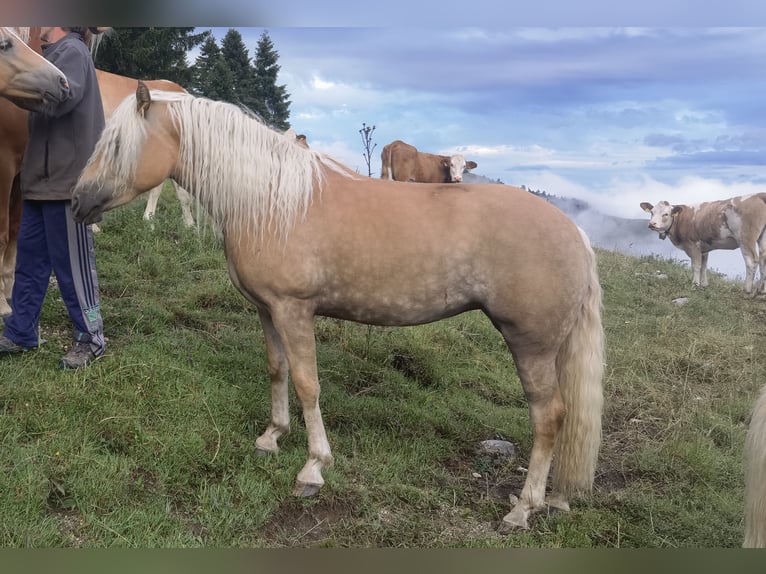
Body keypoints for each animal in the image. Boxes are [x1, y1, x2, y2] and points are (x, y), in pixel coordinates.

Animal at [70, 83, 608, 532]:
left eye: (116, 146)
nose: (76, 203)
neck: (270, 200)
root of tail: (576, 232)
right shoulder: (268, 311)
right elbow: (277, 371)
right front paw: (272, 436)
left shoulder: (294, 311)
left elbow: (308, 384)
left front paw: (313, 468)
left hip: (530, 344)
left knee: (549, 418)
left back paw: (523, 508)